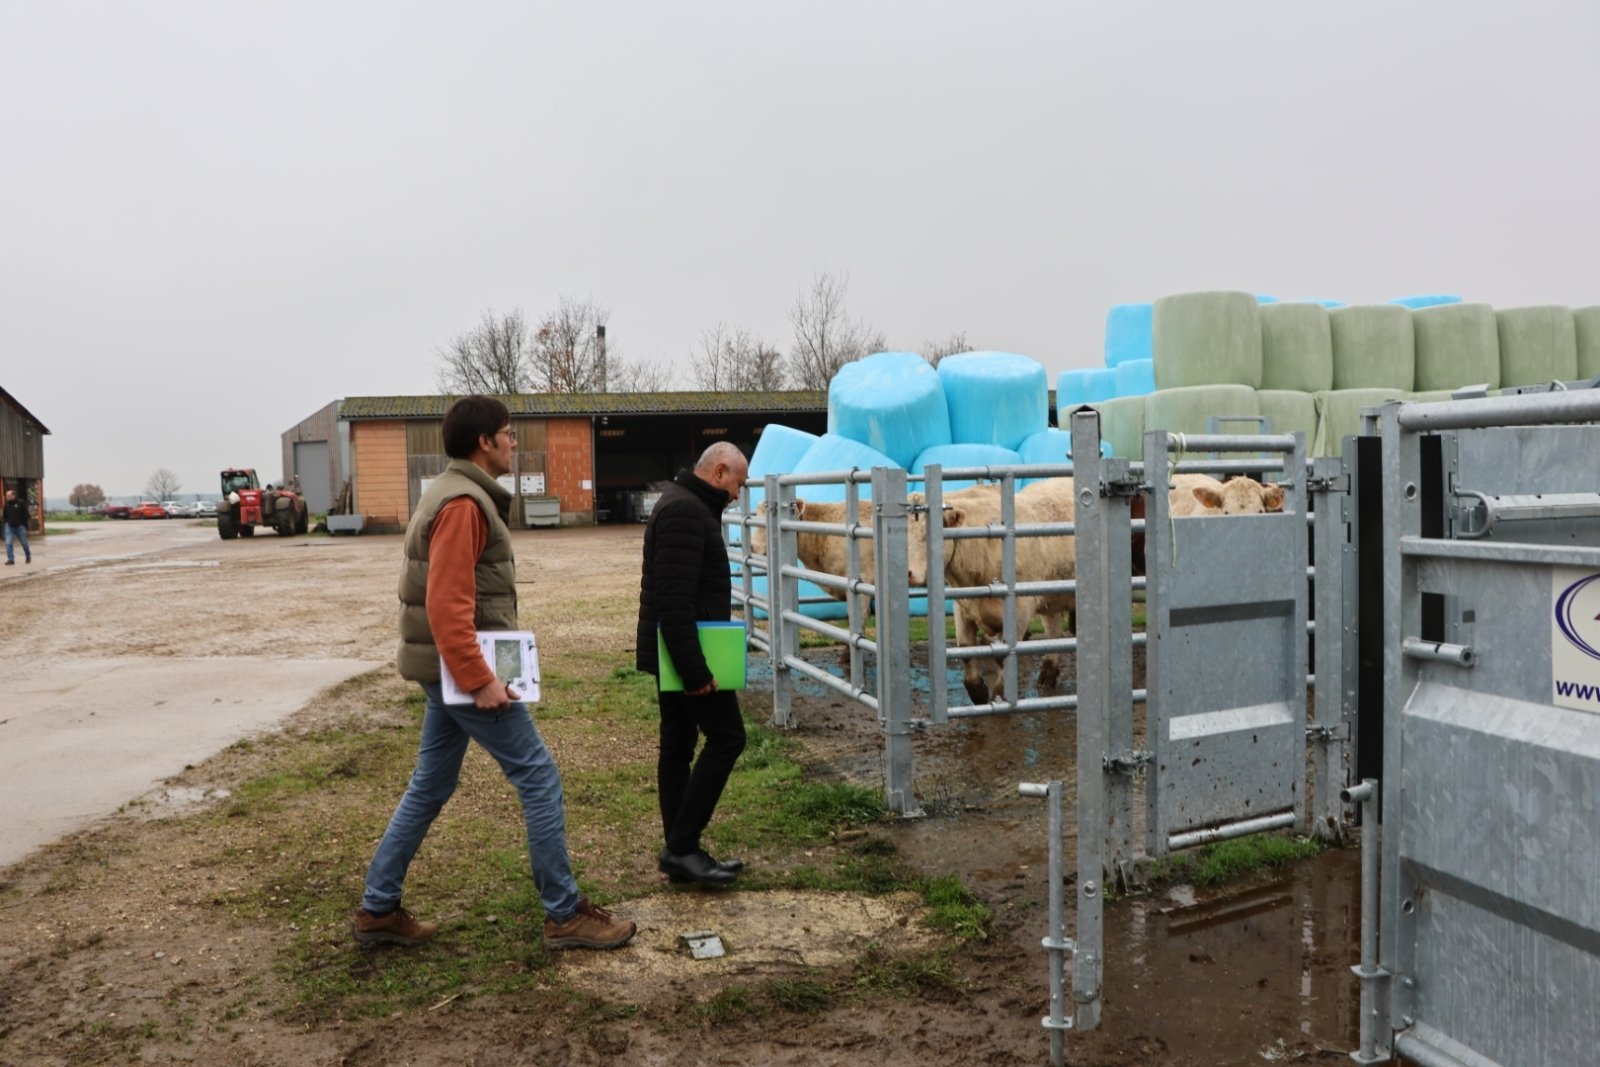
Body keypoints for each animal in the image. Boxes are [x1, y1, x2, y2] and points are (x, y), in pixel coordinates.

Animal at [905, 478, 1078, 704]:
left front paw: (999, 696)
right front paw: (978, 692)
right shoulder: (963, 607)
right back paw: (1047, 676)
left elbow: (1002, 657)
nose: (908, 572)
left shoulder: (1020, 610)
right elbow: (966, 650)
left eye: (928, 535)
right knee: (1053, 631)